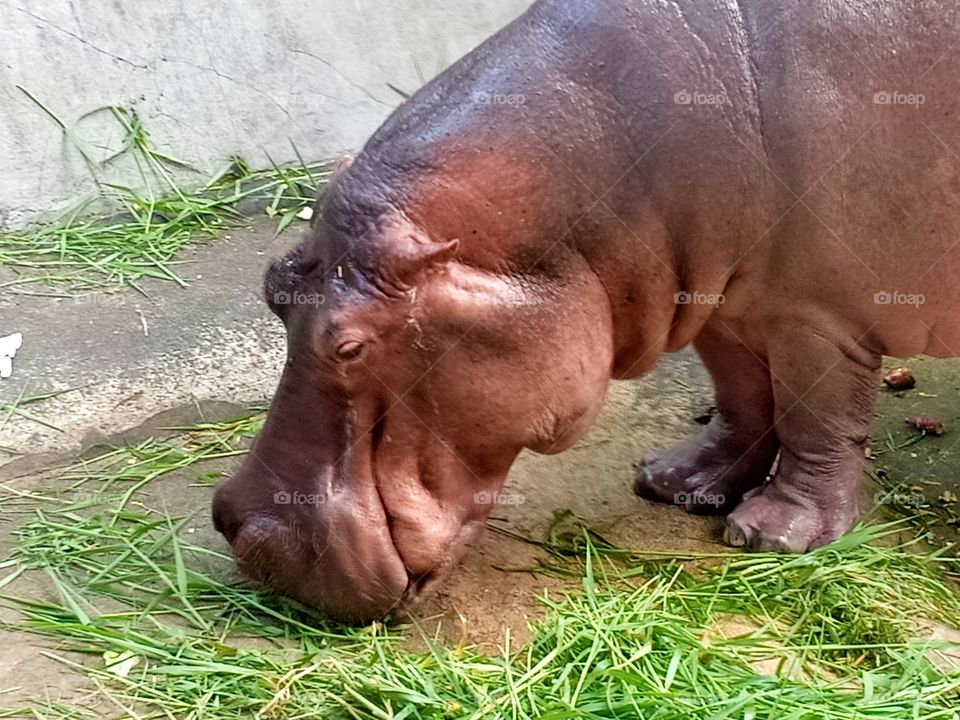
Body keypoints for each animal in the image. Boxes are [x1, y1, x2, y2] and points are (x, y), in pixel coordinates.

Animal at [213, 0, 960, 621]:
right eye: (272, 285)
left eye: (350, 346)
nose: (243, 527)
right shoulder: (719, 299)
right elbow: (743, 397)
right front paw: (677, 483)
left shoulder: (817, 316)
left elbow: (818, 419)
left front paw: (771, 535)